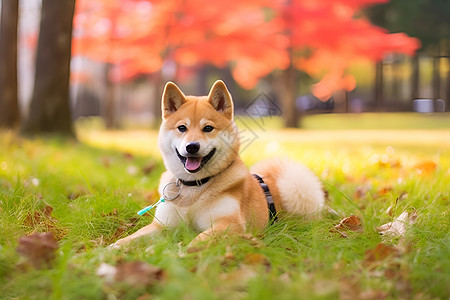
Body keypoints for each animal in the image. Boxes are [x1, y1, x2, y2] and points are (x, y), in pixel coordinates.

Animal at [111, 79, 324, 246]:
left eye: (208, 128)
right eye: (182, 128)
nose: (192, 147)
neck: (193, 187)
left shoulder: (229, 224)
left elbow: (197, 240)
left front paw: (183, 252)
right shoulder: (163, 225)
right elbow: (131, 238)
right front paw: (111, 250)